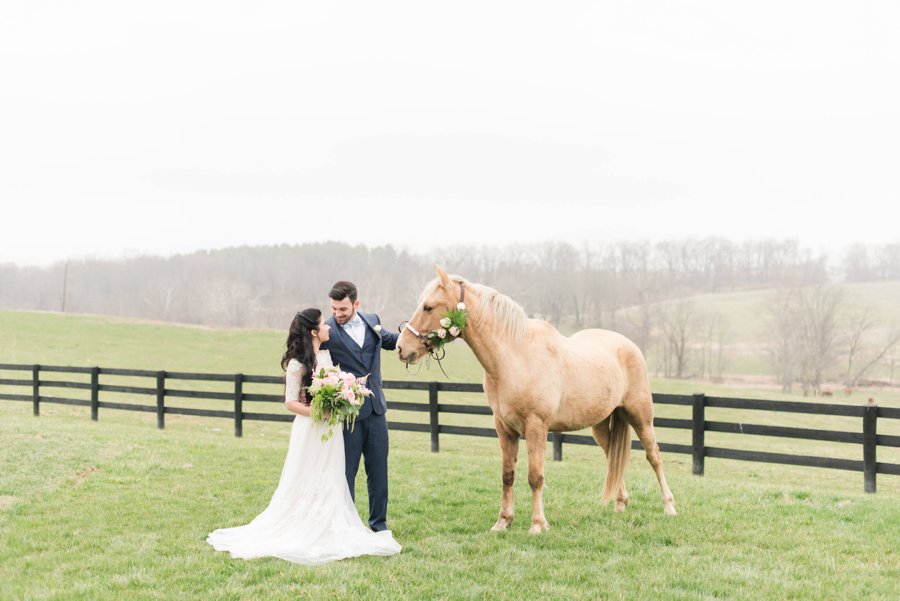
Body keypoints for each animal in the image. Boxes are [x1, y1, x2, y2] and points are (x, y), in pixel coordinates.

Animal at [396, 264, 676, 532]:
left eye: (428, 307)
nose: (401, 348)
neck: (515, 356)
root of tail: (629, 345)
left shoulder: (536, 426)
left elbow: (535, 477)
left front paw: (538, 524)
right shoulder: (504, 428)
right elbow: (508, 475)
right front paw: (503, 522)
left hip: (641, 417)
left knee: (654, 456)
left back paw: (669, 506)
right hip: (601, 426)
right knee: (613, 458)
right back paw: (620, 503)